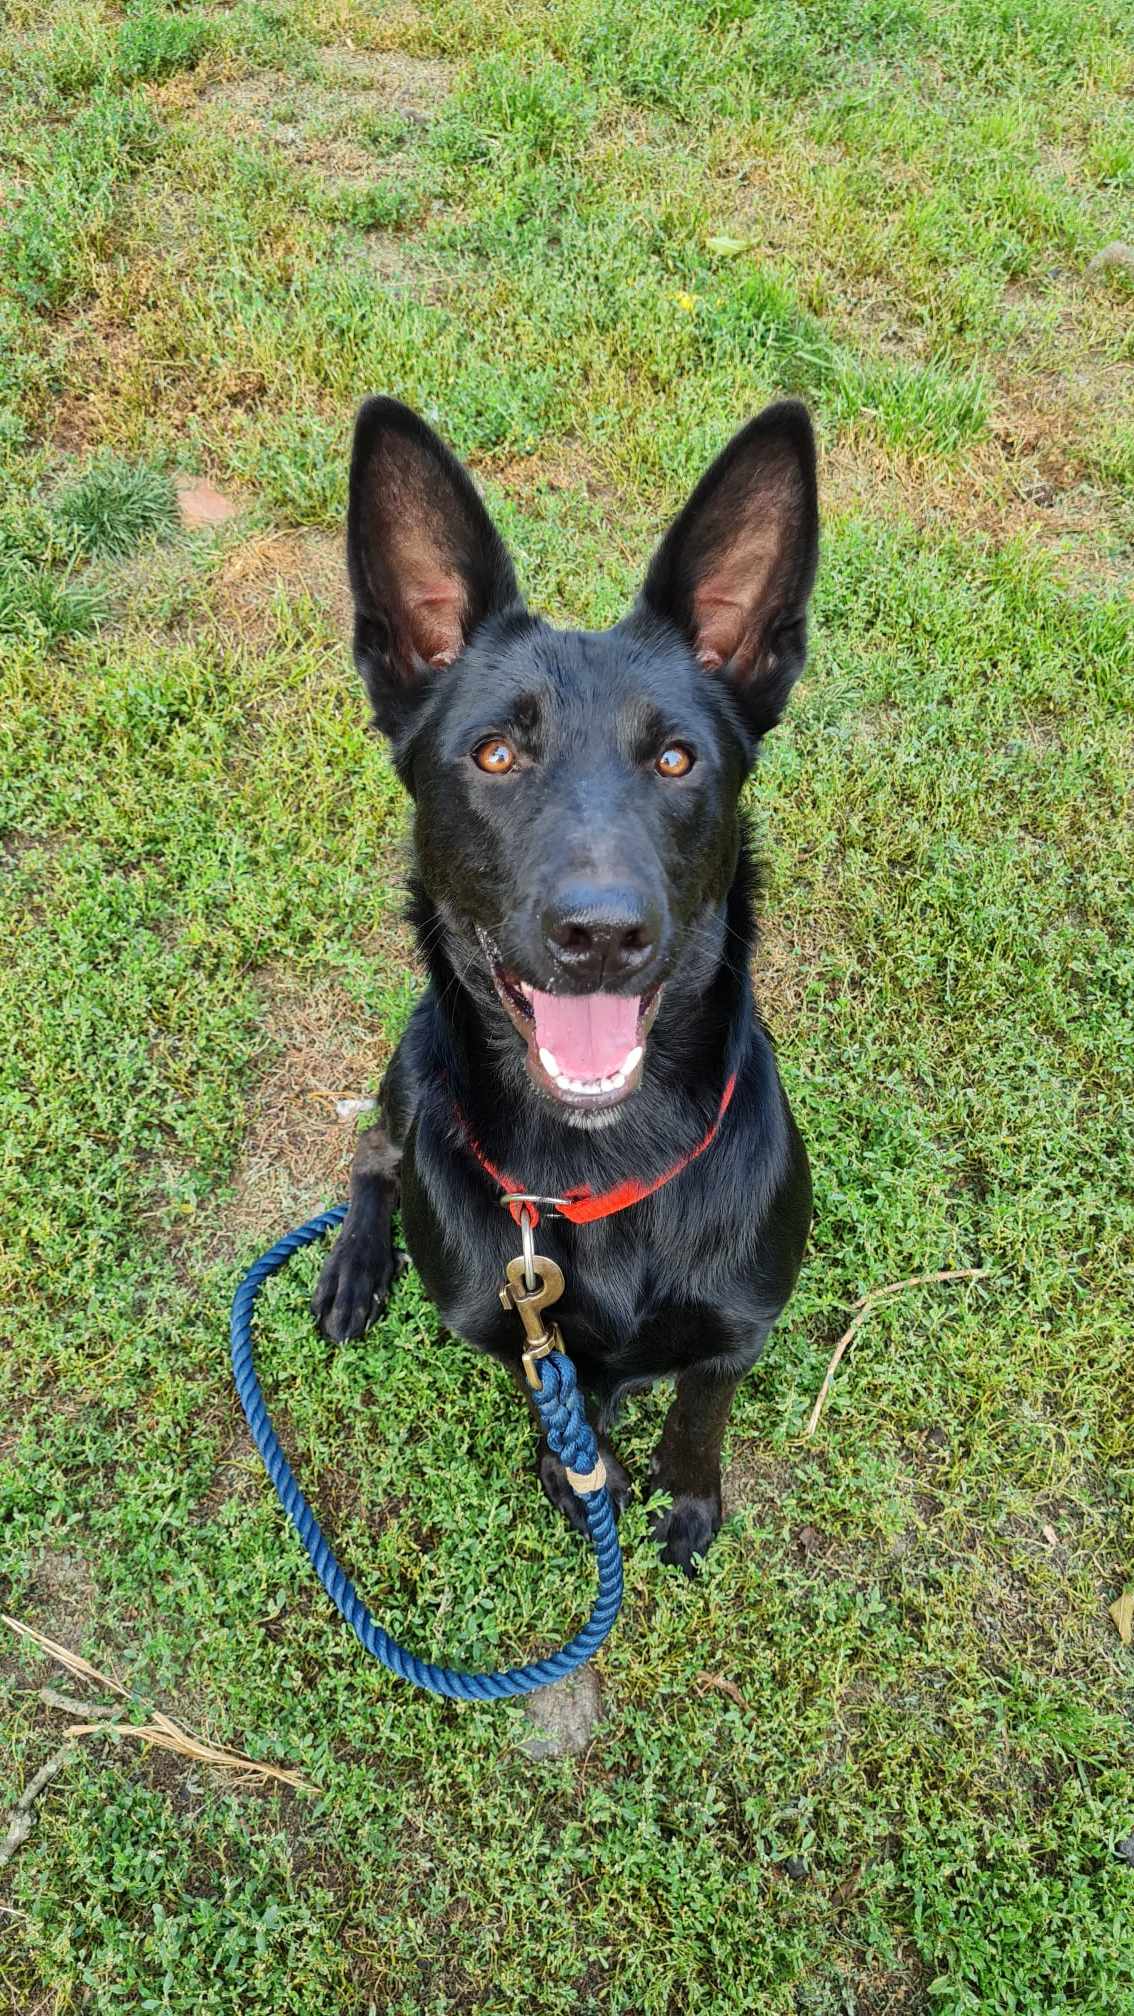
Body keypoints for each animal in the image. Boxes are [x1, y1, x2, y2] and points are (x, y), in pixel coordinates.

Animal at [312, 395, 818, 1572]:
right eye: (496, 755)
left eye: (677, 761)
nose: (601, 934)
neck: (602, 1164)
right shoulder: (512, 1329)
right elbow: (554, 1398)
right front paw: (578, 1475)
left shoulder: (740, 1329)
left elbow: (700, 1415)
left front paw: (687, 1499)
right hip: (415, 1063)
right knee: (374, 1152)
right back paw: (357, 1265)